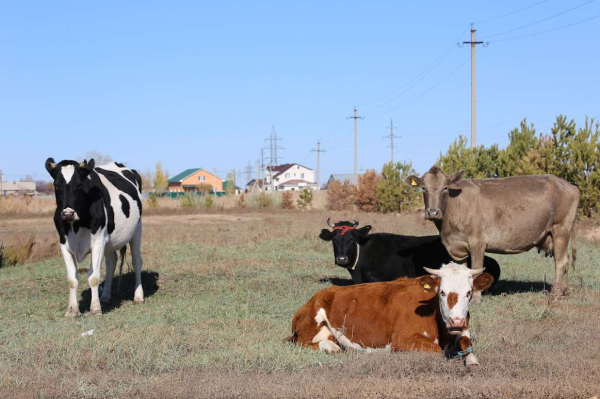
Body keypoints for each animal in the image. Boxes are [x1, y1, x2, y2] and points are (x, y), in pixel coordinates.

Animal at [45, 158, 144, 318]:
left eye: (80, 185)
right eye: (56, 185)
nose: (68, 213)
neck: (76, 225)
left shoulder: (98, 242)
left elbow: (93, 277)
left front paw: (95, 309)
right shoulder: (64, 244)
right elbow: (72, 280)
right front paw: (72, 310)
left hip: (137, 230)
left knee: (136, 261)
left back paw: (138, 296)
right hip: (109, 242)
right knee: (111, 262)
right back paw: (105, 297)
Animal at [288, 262, 494, 368]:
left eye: (469, 292)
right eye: (442, 292)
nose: (456, 321)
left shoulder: (463, 330)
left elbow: (468, 344)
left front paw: (472, 361)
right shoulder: (402, 340)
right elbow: (437, 351)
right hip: (312, 320)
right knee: (303, 343)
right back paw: (331, 347)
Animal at [406, 166, 580, 296]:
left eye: (445, 188)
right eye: (423, 188)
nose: (433, 212)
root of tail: (569, 185)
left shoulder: (477, 242)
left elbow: (475, 270)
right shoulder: (457, 246)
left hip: (561, 227)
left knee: (560, 261)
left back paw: (556, 293)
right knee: (565, 258)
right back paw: (564, 290)